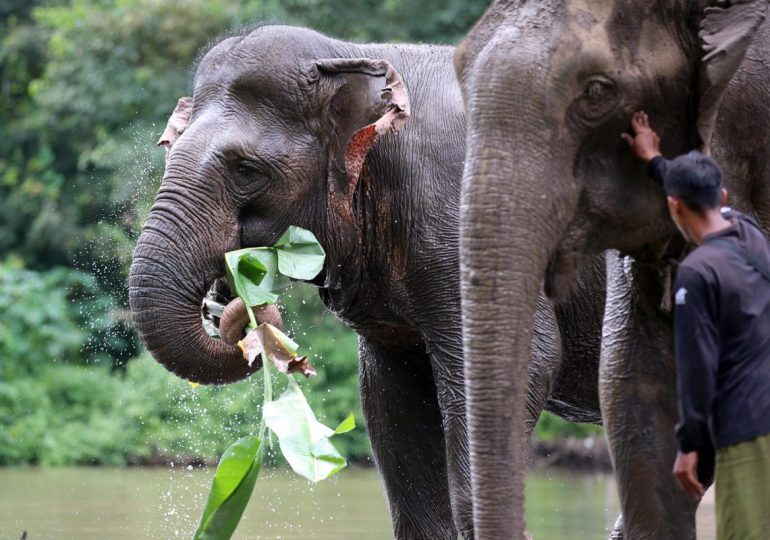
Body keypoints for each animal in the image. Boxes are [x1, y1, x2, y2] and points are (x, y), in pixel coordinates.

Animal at [127, 24, 608, 536]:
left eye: (246, 170)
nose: (229, 301)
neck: (355, 55)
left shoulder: (473, 220)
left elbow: (524, 359)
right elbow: (389, 398)